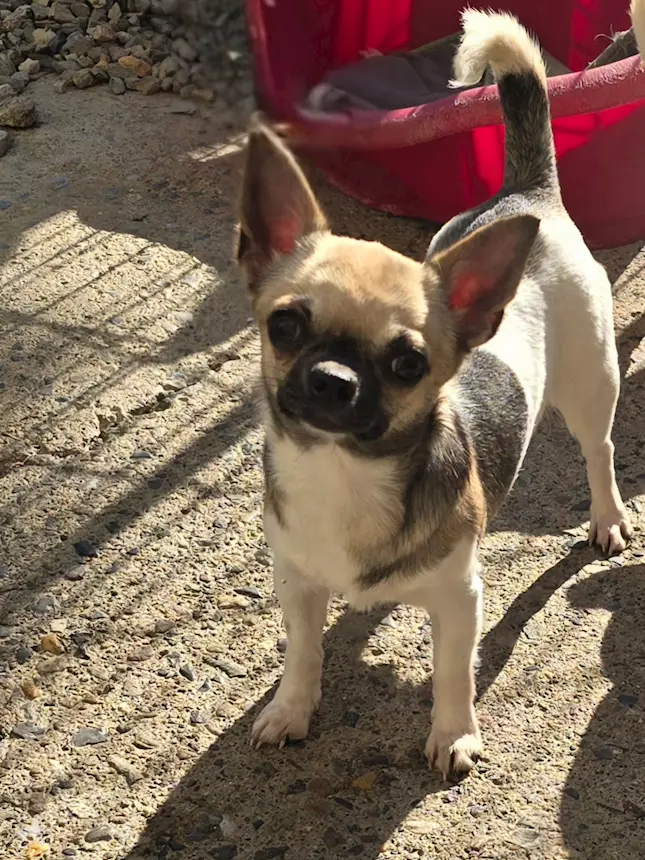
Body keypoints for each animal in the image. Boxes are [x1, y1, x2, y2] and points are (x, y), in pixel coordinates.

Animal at [235, 10, 632, 779]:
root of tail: (526, 193)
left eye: (407, 363)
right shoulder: (296, 582)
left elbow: (453, 672)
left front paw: (453, 736)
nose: (332, 379)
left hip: (591, 384)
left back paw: (606, 517)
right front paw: (292, 709)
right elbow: (302, 652)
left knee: (597, 452)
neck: (346, 476)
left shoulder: (458, 600)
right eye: (285, 325)